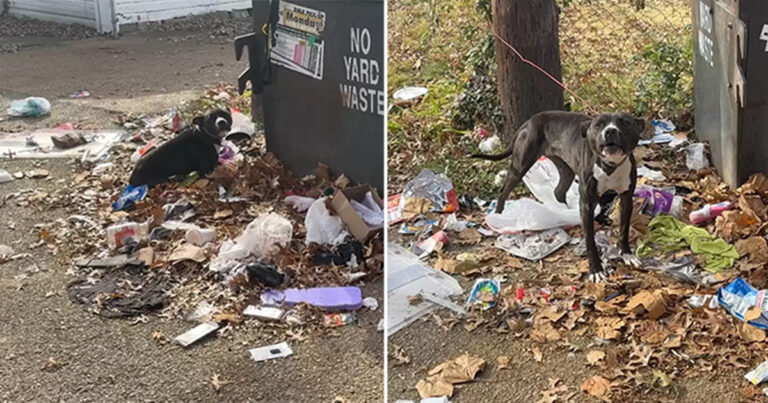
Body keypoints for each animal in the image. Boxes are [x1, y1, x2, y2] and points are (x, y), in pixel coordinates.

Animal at [474, 109, 656, 280]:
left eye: (625, 122)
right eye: (599, 124)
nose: (610, 131)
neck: (609, 165)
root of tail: (529, 122)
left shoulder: (626, 198)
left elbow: (624, 230)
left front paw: (627, 254)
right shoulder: (587, 203)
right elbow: (590, 241)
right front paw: (596, 270)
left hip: (566, 169)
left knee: (558, 191)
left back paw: (564, 211)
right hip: (520, 165)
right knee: (504, 191)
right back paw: (498, 215)